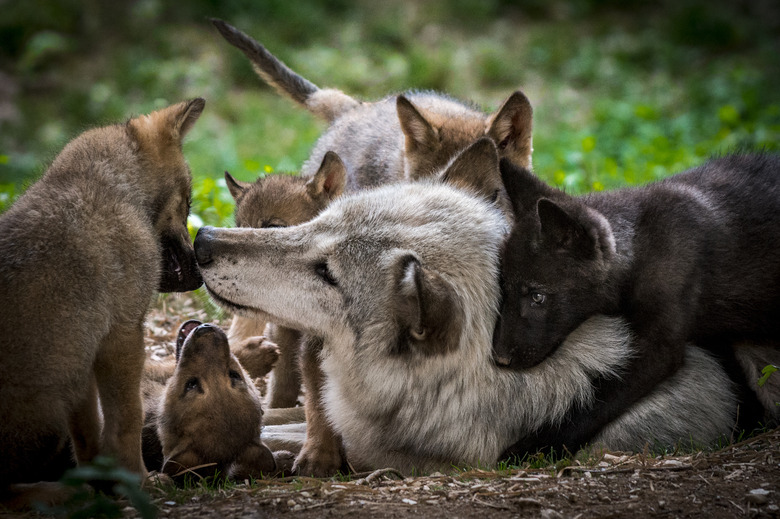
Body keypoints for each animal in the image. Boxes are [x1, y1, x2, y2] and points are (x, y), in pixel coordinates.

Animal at [0, 99, 204, 500]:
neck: (111, 188)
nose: (201, 275)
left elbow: (91, 433)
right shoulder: (122, 337)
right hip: (50, 407)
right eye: (187, 204)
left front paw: (105, 478)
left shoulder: (84, 359)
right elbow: (127, 420)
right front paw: (138, 482)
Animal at [492, 154, 780, 457]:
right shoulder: (710, 335)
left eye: (537, 297)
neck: (640, 253)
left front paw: (530, 449)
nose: (500, 359)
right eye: (504, 289)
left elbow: (591, 408)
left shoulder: (657, 350)